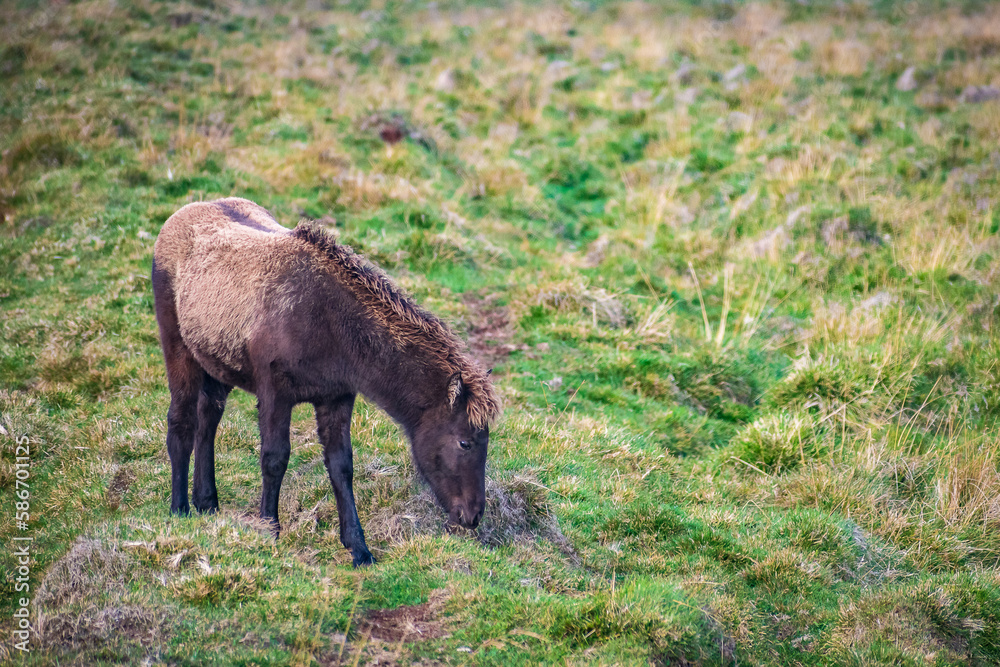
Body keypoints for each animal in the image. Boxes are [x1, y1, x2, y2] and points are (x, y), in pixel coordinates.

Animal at [151, 197, 501, 566]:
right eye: (465, 442)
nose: (472, 516)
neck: (331, 323)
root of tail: (178, 218)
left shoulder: (336, 398)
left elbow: (341, 466)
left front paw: (358, 547)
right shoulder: (275, 394)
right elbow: (274, 459)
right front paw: (269, 529)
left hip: (217, 366)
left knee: (208, 421)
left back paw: (206, 502)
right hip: (179, 352)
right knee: (182, 422)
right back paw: (180, 508)